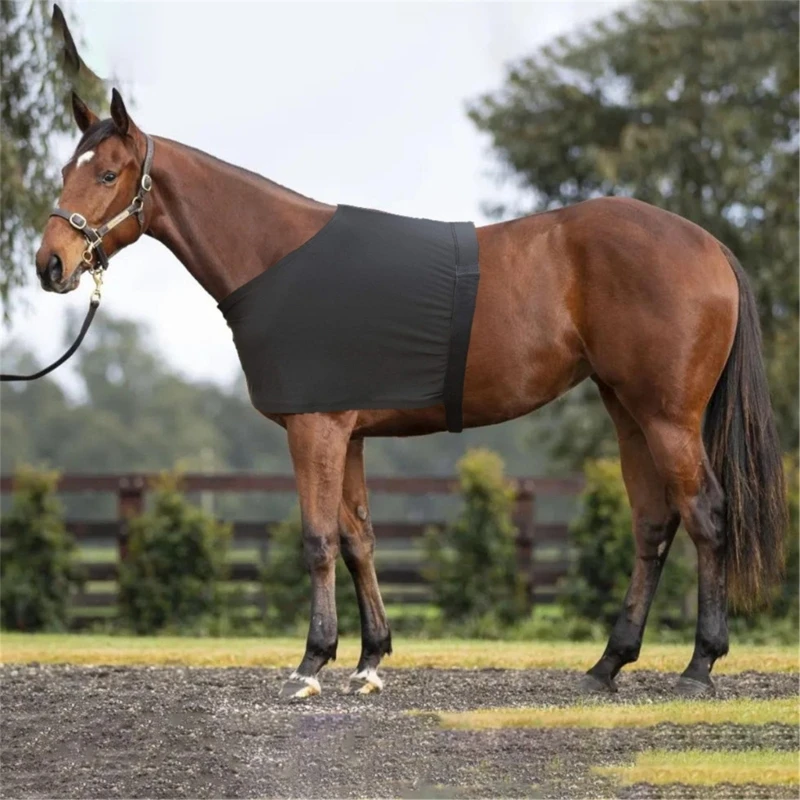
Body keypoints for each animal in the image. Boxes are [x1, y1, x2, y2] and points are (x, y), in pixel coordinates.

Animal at [35, 88, 786, 699]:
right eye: (67, 170)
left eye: (107, 173)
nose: (50, 265)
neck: (276, 256)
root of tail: (709, 246)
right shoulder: (350, 434)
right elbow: (358, 537)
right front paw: (370, 660)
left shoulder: (316, 427)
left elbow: (317, 539)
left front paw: (312, 663)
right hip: (627, 411)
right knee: (653, 524)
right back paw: (608, 663)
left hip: (669, 418)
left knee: (706, 516)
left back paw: (698, 666)